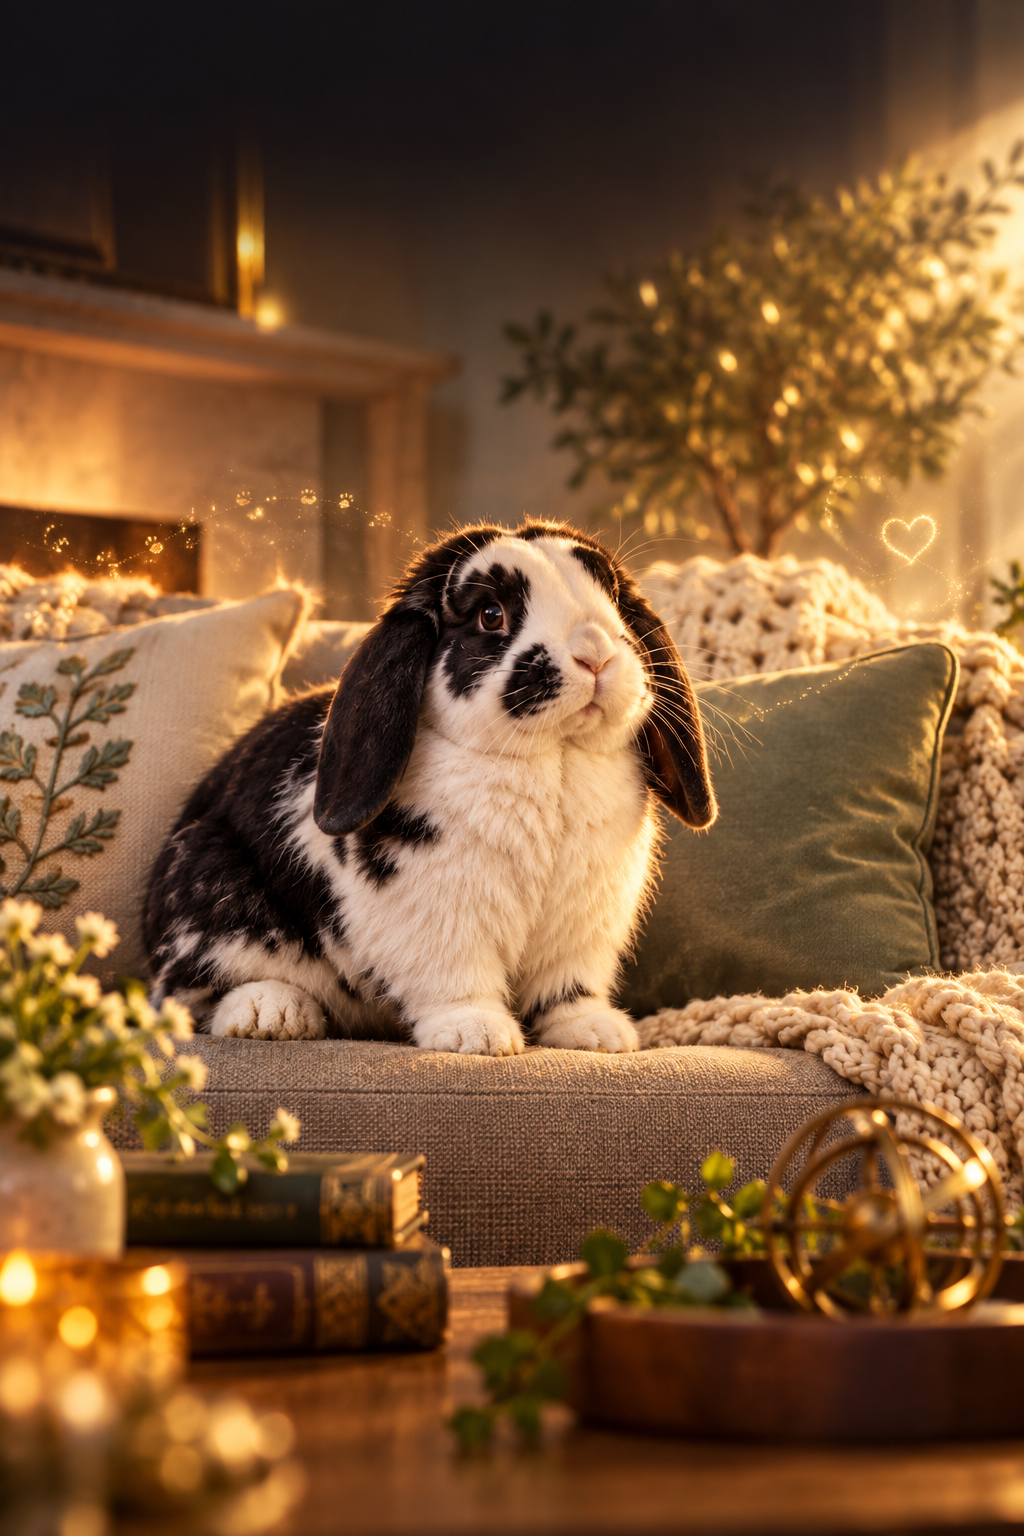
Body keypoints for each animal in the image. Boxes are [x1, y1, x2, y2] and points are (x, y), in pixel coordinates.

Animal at [144, 520, 716, 1055]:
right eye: (491, 615)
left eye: (614, 600)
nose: (595, 655)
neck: (555, 762)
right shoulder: (437, 911)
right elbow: (455, 979)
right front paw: (477, 1035)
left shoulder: (580, 930)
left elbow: (566, 989)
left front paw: (595, 1034)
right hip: (214, 896)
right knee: (195, 994)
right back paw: (272, 1014)